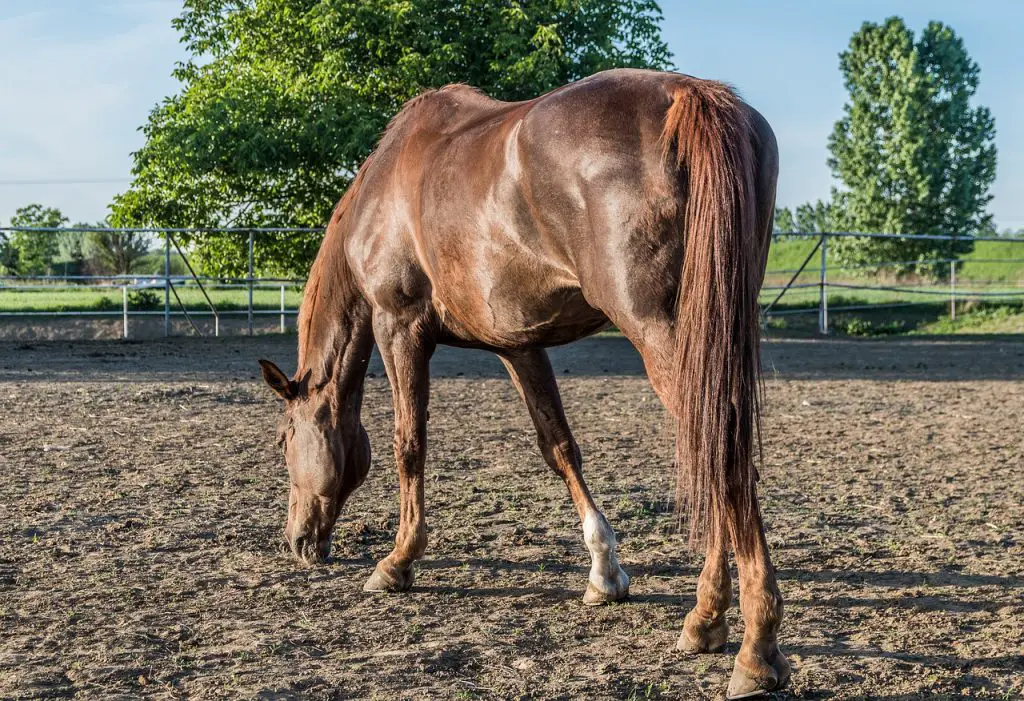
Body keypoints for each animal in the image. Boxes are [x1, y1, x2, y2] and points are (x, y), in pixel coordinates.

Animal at [258, 67, 782, 699]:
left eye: (284, 440)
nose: (297, 542)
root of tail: (689, 95)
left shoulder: (399, 326)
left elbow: (409, 445)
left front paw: (398, 561)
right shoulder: (517, 343)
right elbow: (558, 446)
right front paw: (605, 571)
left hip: (666, 336)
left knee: (719, 453)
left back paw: (756, 650)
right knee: (717, 454)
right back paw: (705, 619)